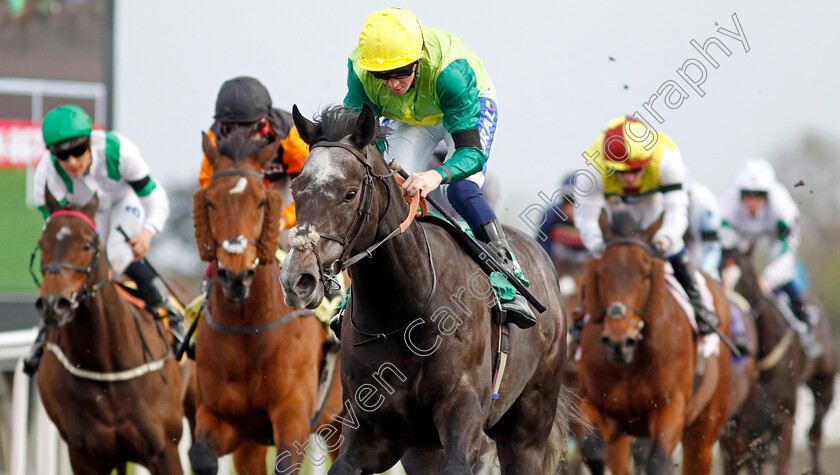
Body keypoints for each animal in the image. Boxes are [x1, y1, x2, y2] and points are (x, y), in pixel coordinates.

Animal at [34, 192, 184, 474]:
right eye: (42, 244)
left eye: (87, 245)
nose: (52, 304)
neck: (106, 362)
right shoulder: (83, 456)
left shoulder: (165, 450)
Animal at [191, 130, 344, 475]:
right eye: (210, 201)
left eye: (261, 201)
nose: (235, 277)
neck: (249, 332)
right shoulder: (221, 417)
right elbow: (201, 457)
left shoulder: (293, 417)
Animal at [280, 106, 572, 475]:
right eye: (297, 188)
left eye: (349, 193)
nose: (297, 278)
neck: (405, 314)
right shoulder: (369, 433)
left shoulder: (463, 419)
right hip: (423, 450)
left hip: (528, 428)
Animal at [576, 212, 736, 475]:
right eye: (599, 273)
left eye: (646, 274)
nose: (619, 342)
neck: (631, 364)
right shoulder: (596, 405)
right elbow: (592, 451)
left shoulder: (671, 409)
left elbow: (657, 462)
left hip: (705, 426)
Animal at [720, 247, 832, 474]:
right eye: (717, 273)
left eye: (746, 278)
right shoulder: (745, 422)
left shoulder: (784, 418)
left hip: (824, 385)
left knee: (814, 433)